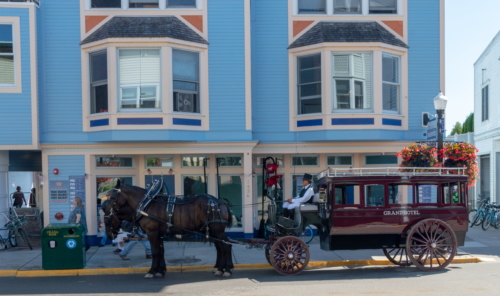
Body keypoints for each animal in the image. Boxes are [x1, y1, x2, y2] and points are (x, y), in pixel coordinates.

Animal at [104, 179, 236, 278]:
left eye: (112, 197)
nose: (109, 235)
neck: (146, 204)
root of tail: (220, 203)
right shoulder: (159, 234)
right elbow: (161, 251)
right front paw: (160, 271)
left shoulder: (152, 233)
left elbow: (156, 252)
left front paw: (152, 271)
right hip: (213, 231)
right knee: (220, 247)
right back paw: (219, 268)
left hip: (217, 230)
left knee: (226, 246)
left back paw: (226, 269)